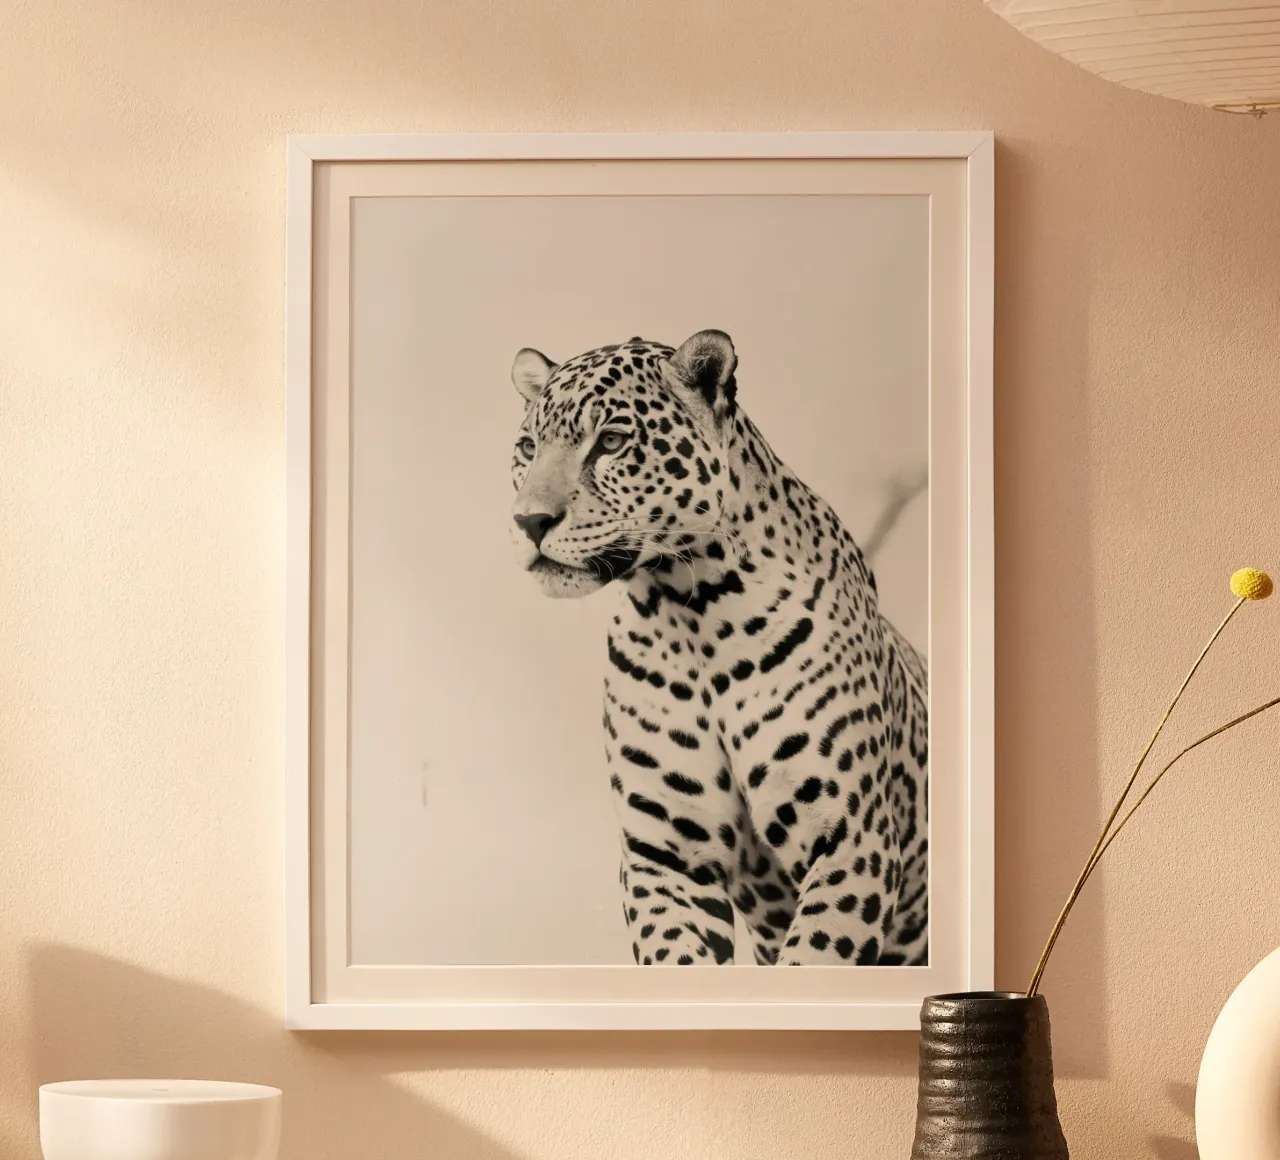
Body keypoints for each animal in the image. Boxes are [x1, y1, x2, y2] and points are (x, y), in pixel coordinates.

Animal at [505, 329, 928, 966]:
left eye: (611, 442)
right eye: (528, 447)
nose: (529, 522)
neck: (690, 612)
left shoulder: (852, 840)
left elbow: (813, 957)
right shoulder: (666, 857)